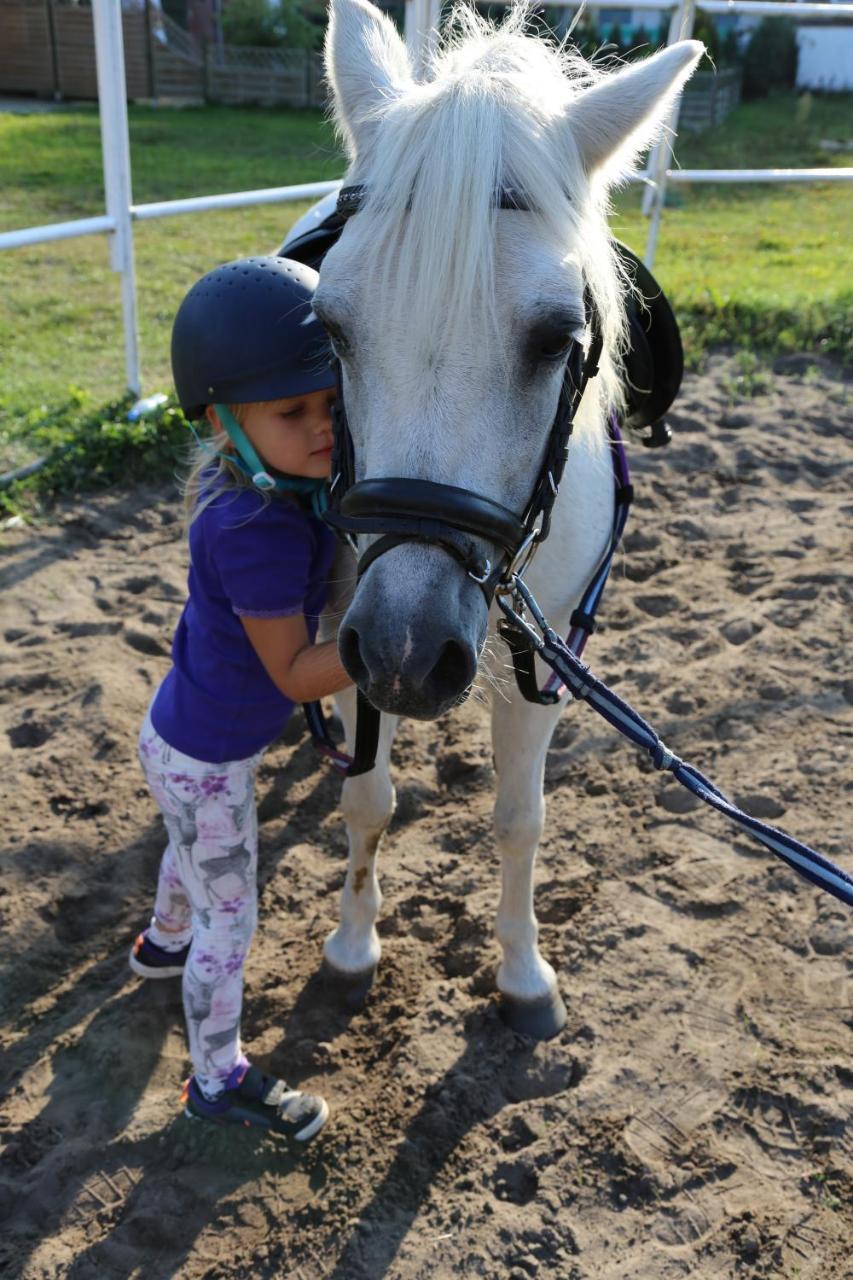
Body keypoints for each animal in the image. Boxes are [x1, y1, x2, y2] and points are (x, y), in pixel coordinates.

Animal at [312, 0, 696, 1034]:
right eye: (331, 329)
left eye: (557, 340)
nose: (405, 652)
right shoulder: (348, 628)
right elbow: (367, 801)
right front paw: (352, 946)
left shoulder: (544, 653)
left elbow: (520, 819)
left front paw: (522, 972)